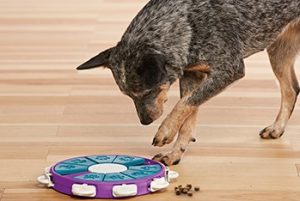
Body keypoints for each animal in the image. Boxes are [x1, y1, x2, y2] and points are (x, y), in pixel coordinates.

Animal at [77, 0, 300, 166]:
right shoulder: (192, 75)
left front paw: (165, 131)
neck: (187, 21)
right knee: (291, 89)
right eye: (129, 96)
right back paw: (277, 128)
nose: (145, 122)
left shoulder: (229, 69)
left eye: (148, 92)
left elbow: (184, 104)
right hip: (279, 50)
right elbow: (187, 116)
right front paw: (175, 153)